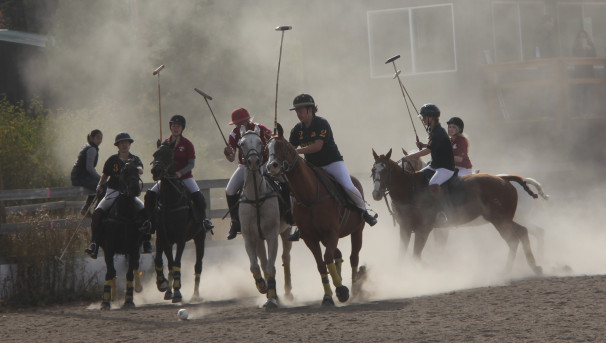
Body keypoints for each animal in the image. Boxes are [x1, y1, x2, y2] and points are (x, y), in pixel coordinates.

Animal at [101, 160, 147, 310]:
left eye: (137, 171)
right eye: (124, 172)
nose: (135, 189)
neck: (124, 214)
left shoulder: (133, 248)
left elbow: (129, 273)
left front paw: (129, 301)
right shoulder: (108, 249)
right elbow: (110, 272)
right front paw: (105, 301)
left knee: (135, 265)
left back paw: (138, 287)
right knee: (112, 272)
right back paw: (114, 296)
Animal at [149, 141, 209, 302]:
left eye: (169, 155)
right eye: (155, 154)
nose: (156, 171)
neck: (170, 202)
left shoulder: (181, 237)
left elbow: (176, 263)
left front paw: (177, 291)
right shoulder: (163, 237)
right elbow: (165, 262)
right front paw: (163, 285)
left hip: (200, 237)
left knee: (198, 265)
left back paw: (195, 295)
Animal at [239, 126, 294, 310]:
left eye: (260, 143)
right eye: (241, 144)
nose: (254, 162)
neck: (256, 197)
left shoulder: (271, 235)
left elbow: (271, 266)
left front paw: (271, 299)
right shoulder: (250, 237)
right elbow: (255, 266)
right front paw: (263, 287)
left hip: (286, 231)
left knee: (285, 257)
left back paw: (287, 292)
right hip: (259, 239)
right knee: (262, 262)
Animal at [268, 125, 368, 308]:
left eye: (283, 146)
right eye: (267, 148)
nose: (272, 166)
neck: (309, 195)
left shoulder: (332, 231)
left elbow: (327, 258)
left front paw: (342, 291)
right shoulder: (310, 237)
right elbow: (321, 264)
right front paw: (328, 296)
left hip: (357, 230)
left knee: (353, 257)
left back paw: (355, 289)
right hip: (325, 237)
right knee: (338, 254)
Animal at [372, 149, 544, 276]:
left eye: (385, 169)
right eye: (373, 170)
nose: (376, 194)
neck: (411, 190)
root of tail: (506, 180)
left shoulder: (424, 229)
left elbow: (417, 256)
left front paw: (437, 270)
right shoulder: (406, 228)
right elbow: (402, 255)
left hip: (501, 220)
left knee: (515, 239)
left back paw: (509, 271)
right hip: (506, 219)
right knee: (523, 232)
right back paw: (534, 266)